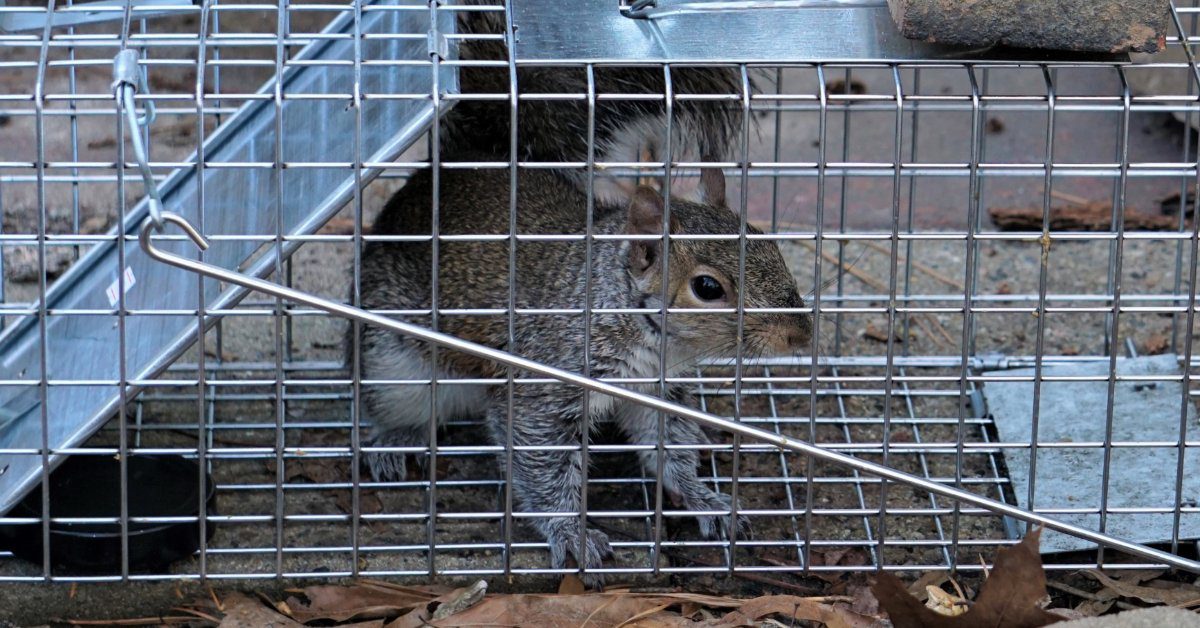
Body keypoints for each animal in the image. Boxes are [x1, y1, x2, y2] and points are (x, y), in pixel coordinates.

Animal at [355, 158, 811, 585]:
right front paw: (571, 532)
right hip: (392, 366)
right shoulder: (544, 385)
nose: (801, 333)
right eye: (708, 288)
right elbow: (542, 463)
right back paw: (397, 439)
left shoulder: (655, 391)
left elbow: (667, 441)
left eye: (770, 245)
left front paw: (701, 495)